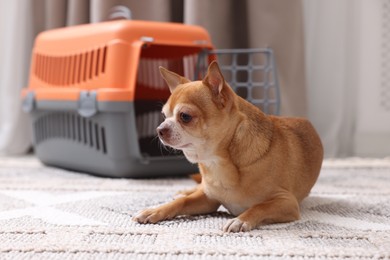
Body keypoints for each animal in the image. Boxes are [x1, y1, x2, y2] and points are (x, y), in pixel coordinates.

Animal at [134, 61, 322, 234]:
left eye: (185, 116)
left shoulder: (287, 202)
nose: (159, 129)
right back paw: (184, 191)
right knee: (194, 189)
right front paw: (155, 210)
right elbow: (182, 202)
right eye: (164, 116)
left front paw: (240, 220)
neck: (217, 162)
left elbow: (259, 207)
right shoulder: (208, 199)